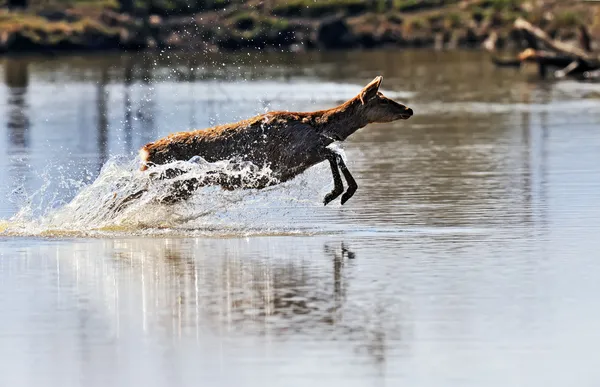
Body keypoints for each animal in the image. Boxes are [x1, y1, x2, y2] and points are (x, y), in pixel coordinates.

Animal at [119, 75, 414, 209]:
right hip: (170, 182)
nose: (409, 109)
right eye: (383, 100)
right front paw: (338, 193)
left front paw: (338, 193)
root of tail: (145, 151)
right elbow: (335, 154)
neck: (320, 127)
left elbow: (335, 154)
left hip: (172, 185)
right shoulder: (291, 155)